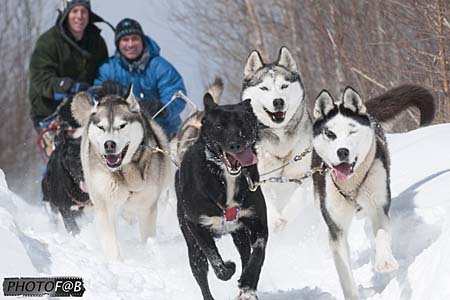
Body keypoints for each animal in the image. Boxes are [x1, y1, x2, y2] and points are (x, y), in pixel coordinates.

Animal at [175, 94, 268, 300]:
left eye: (243, 123)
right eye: (219, 126)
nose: (235, 144)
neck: (224, 177)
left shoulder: (257, 222)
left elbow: (258, 254)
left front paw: (248, 283)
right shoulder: (197, 225)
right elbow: (217, 263)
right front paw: (229, 268)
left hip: (239, 234)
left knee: (245, 254)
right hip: (192, 244)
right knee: (201, 273)